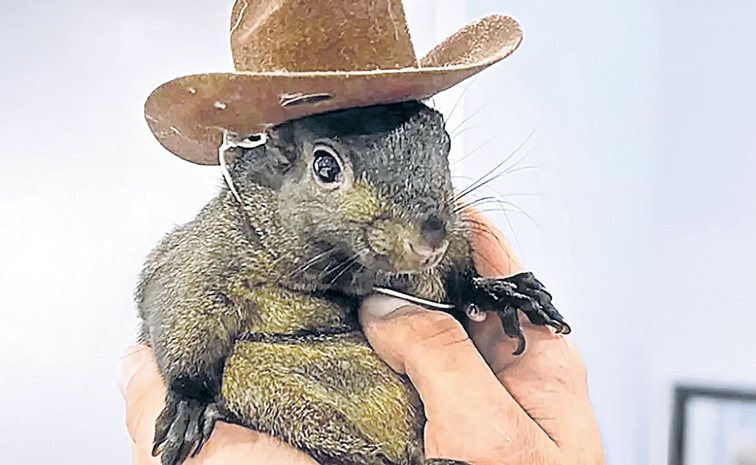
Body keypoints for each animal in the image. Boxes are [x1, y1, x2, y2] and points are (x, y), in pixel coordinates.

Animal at [136, 100, 570, 465]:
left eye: (443, 142)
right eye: (325, 167)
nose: (430, 238)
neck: (343, 274)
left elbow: (460, 278)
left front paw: (500, 291)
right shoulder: (202, 257)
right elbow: (180, 309)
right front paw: (188, 402)